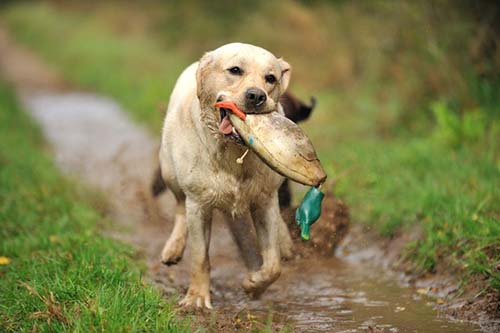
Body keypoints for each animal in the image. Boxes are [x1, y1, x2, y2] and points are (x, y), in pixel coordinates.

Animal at [159, 42, 292, 308]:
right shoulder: (198, 204)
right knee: (179, 207)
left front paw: (254, 283)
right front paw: (197, 299)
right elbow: (200, 257)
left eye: (270, 78)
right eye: (235, 70)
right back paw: (173, 248)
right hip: (169, 171)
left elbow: (273, 264)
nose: (256, 96)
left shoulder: (264, 201)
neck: (233, 152)